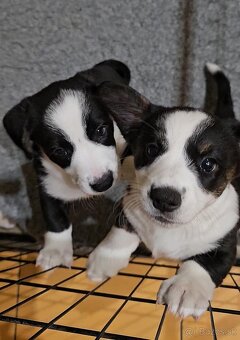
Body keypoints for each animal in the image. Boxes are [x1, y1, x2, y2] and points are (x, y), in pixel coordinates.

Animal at [3, 59, 131, 270]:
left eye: (101, 130)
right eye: (59, 151)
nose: (103, 183)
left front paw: (112, 253)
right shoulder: (47, 179)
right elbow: (55, 217)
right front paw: (55, 250)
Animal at [87, 63, 240, 318]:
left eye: (208, 164)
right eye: (151, 149)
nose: (164, 199)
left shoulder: (226, 242)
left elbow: (204, 263)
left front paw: (187, 288)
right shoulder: (130, 203)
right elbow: (121, 230)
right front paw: (104, 258)